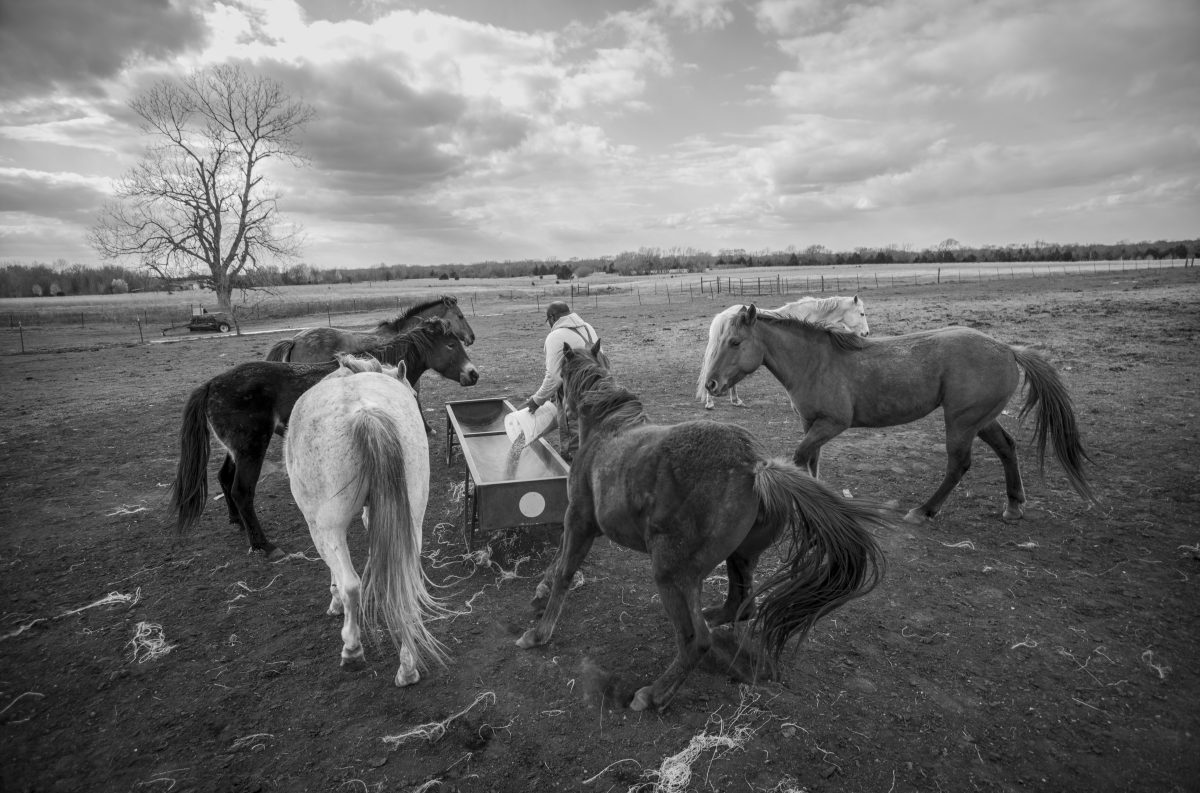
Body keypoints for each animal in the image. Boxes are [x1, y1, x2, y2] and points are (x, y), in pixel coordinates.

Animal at [169, 317, 479, 560]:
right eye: (451, 345)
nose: (473, 374)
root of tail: (212, 384)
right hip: (252, 449)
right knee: (241, 491)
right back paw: (263, 545)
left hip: (238, 450)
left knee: (224, 478)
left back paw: (236, 521)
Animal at [284, 355, 446, 686]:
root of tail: (365, 412)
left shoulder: (320, 528)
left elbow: (336, 577)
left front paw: (334, 603)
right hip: (412, 520)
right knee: (404, 585)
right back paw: (407, 667)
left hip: (328, 528)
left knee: (351, 585)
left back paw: (352, 648)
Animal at [516, 340, 889, 712]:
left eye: (559, 375)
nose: (552, 406)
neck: (606, 428)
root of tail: (757, 466)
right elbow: (559, 562)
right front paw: (541, 592)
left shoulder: (579, 520)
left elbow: (564, 570)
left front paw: (539, 632)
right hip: (738, 558)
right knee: (740, 606)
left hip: (672, 573)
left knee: (697, 639)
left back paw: (653, 694)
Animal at [704, 305, 1098, 524]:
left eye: (735, 342)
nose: (711, 384)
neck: (816, 361)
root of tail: (1007, 348)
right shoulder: (812, 424)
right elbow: (811, 460)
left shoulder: (832, 424)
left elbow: (801, 457)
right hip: (981, 419)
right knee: (1007, 448)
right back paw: (1014, 506)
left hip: (961, 422)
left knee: (959, 465)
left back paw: (924, 511)